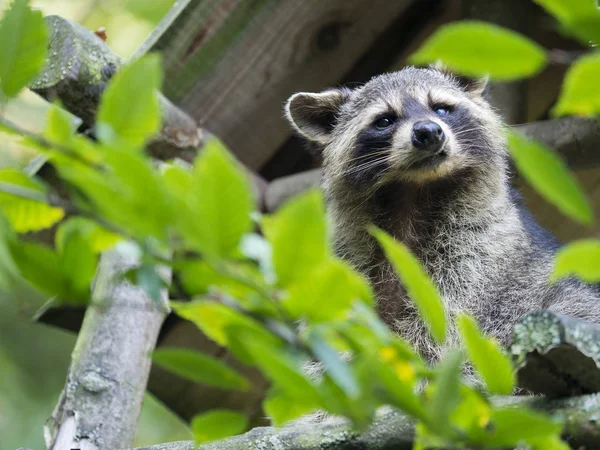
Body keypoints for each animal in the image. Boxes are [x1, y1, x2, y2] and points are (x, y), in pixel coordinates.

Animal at [284, 66, 600, 362]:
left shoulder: (477, 250)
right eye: (384, 120)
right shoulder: (349, 258)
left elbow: (445, 319)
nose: (428, 132)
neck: (414, 192)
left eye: (441, 108)